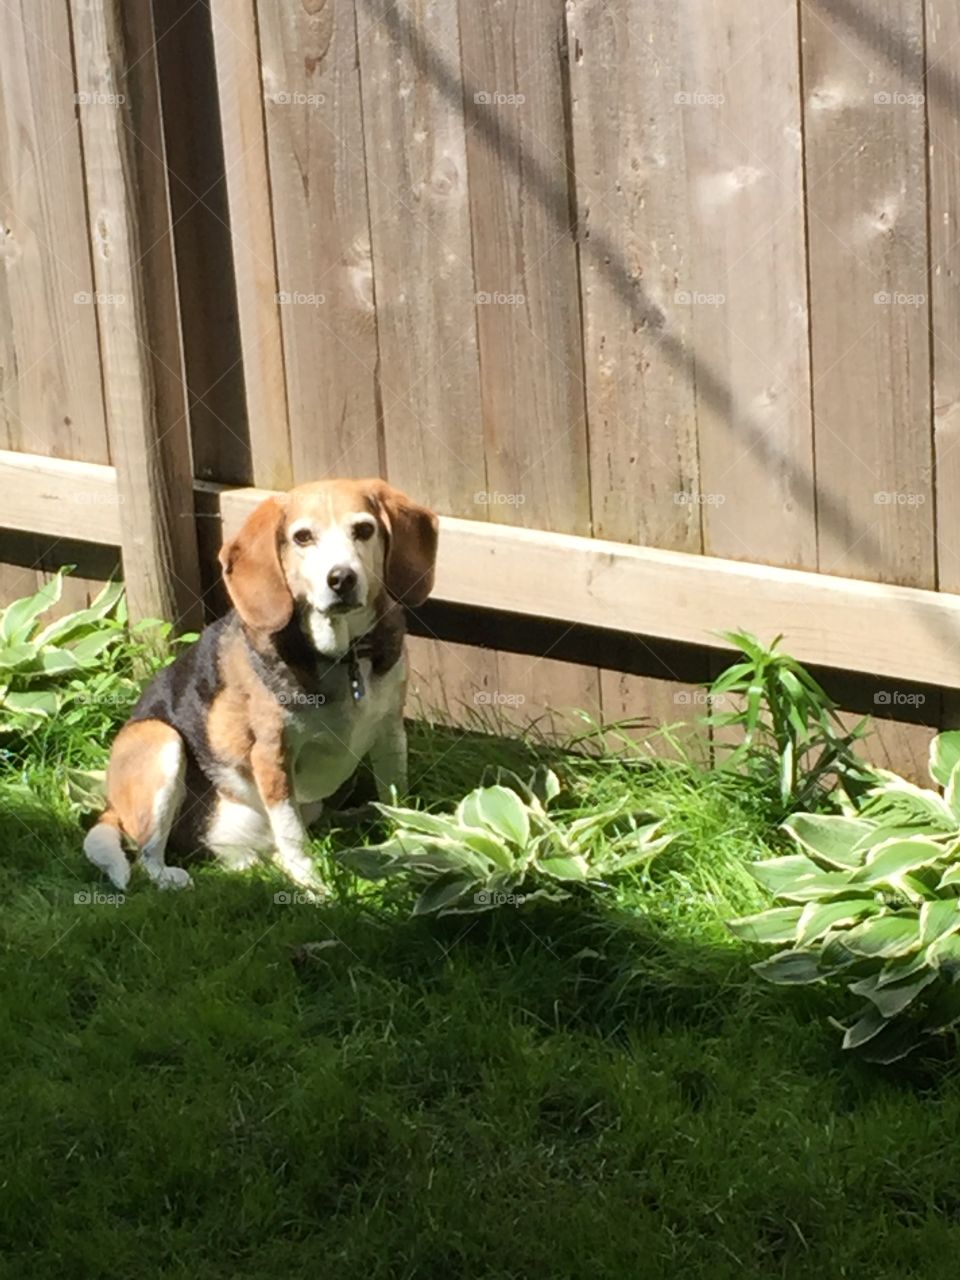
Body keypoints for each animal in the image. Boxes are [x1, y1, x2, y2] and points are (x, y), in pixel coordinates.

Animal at [84, 478, 437, 890]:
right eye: (302, 537)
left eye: (364, 529)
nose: (341, 578)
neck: (343, 655)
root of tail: (112, 806)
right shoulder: (271, 756)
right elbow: (292, 832)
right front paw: (314, 887)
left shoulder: (390, 733)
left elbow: (395, 798)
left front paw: (407, 844)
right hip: (160, 739)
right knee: (146, 855)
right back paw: (172, 876)